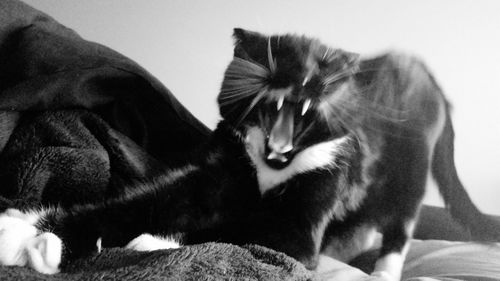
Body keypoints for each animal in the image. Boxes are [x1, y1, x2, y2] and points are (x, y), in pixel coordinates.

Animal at [0, 27, 500, 278]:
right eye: (266, 101)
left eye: (311, 111)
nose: (280, 142)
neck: (269, 171)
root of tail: (419, 66)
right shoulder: (216, 174)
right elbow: (137, 203)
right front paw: (27, 230)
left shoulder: (299, 228)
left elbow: (237, 231)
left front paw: (153, 242)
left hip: (409, 172)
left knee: (400, 224)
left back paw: (384, 270)